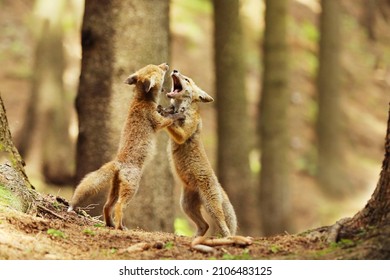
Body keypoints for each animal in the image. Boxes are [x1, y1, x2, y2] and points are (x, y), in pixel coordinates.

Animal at [69, 63, 184, 230]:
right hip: (131, 189)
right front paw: (178, 114)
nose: (166, 65)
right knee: (119, 206)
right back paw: (120, 227)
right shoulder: (158, 122)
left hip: (115, 189)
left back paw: (110, 224)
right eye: (159, 70)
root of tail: (119, 162)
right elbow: (169, 118)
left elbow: (166, 112)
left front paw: (169, 109)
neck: (142, 100)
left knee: (107, 206)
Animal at [158, 69, 238, 236]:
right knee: (204, 225)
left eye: (187, 80)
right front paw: (165, 110)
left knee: (224, 227)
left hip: (210, 207)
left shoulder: (183, 133)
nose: (175, 70)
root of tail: (219, 186)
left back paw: (226, 238)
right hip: (186, 206)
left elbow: (173, 121)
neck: (183, 108)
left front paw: (168, 113)